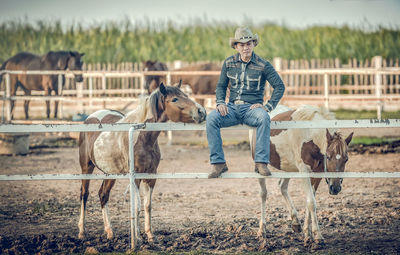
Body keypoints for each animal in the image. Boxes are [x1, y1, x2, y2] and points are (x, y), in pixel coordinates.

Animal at [78, 82, 206, 245]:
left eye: (186, 95)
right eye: (175, 99)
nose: (201, 111)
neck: (142, 137)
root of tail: (90, 117)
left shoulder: (151, 176)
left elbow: (147, 205)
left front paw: (150, 235)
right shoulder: (135, 178)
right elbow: (137, 206)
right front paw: (137, 237)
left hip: (110, 172)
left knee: (103, 194)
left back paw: (110, 232)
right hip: (86, 167)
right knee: (84, 194)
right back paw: (82, 232)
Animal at [250, 104, 354, 246]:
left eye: (346, 159)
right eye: (328, 156)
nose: (335, 188)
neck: (309, 136)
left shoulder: (317, 173)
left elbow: (309, 200)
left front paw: (307, 233)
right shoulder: (304, 171)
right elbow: (311, 202)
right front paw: (317, 235)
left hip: (288, 168)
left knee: (282, 187)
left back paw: (295, 222)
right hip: (259, 168)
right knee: (263, 194)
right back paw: (262, 230)